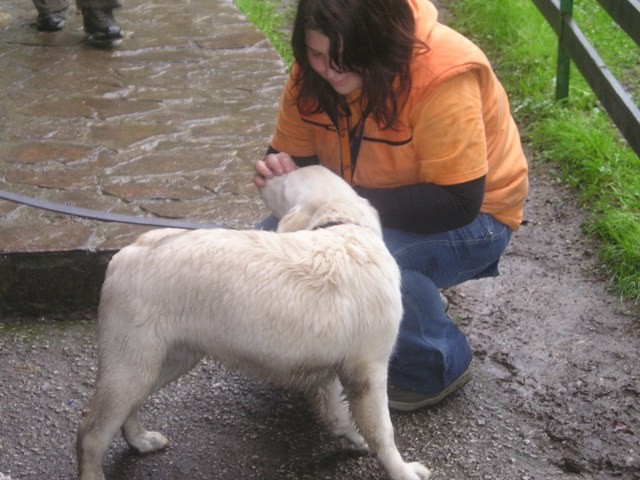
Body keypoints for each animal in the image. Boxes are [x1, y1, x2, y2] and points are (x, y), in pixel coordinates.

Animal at [77, 166, 432, 480]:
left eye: (284, 184)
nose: (263, 173)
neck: (342, 225)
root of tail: (126, 253)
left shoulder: (338, 366)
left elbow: (342, 412)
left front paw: (353, 437)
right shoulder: (369, 370)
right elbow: (383, 430)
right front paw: (402, 471)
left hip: (165, 360)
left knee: (127, 410)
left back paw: (140, 440)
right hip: (130, 364)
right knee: (91, 431)